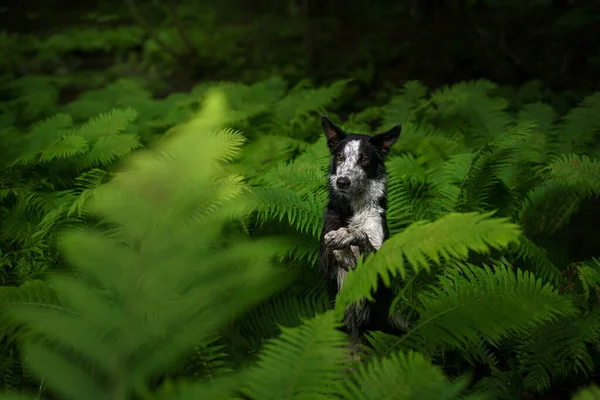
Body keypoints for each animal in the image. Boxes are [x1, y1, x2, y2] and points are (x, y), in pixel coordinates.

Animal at [316, 115, 406, 344]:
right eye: (340, 157)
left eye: (364, 160)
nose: (342, 182)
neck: (354, 210)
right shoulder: (325, 266)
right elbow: (330, 243)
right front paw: (343, 251)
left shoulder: (379, 259)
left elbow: (361, 234)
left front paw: (347, 236)